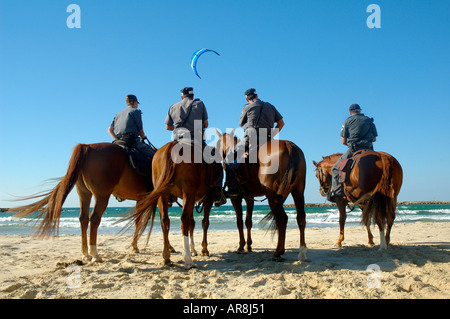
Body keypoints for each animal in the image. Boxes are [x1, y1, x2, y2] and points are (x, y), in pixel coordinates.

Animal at [9, 142, 155, 262]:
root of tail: (87, 146)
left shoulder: (140, 199)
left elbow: (137, 222)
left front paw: (135, 247)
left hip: (84, 193)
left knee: (83, 218)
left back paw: (85, 254)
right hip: (101, 195)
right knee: (94, 219)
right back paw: (95, 254)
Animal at [216, 131, 308, 262]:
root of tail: (288, 146)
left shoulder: (236, 198)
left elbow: (239, 222)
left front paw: (241, 246)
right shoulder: (249, 198)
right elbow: (248, 221)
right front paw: (248, 246)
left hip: (273, 197)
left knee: (282, 219)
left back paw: (278, 252)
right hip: (298, 191)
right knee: (300, 218)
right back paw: (302, 251)